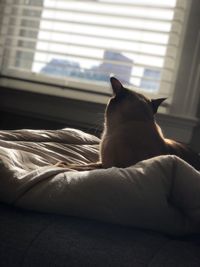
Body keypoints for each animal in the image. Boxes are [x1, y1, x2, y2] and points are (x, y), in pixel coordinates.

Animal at [56, 77, 200, 172]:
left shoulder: (107, 166)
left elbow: (77, 166)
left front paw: (59, 165)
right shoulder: (102, 162)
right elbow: (81, 164)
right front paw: (63, 163)